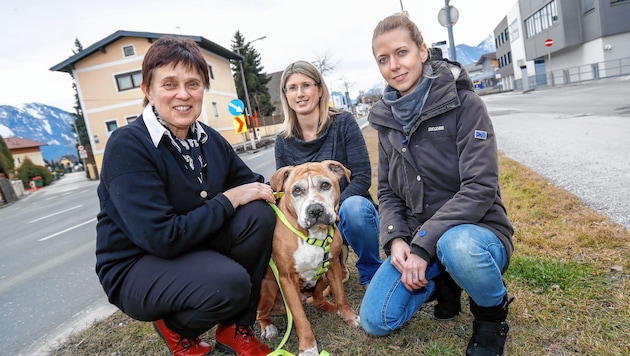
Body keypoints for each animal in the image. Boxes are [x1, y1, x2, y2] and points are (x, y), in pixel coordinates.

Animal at [256, 161, 360, 356]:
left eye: (325, 185)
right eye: (296, 190)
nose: (315, 210)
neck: (312, 235)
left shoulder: (333, 266)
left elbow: (341, 296)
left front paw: (349, 315)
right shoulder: (287, 280)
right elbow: (300, 318)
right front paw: (308, 347)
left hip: (320, 280)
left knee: (319, 301)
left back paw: (334, 309)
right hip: (269, 287)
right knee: (261, 313)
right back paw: (268, 327)